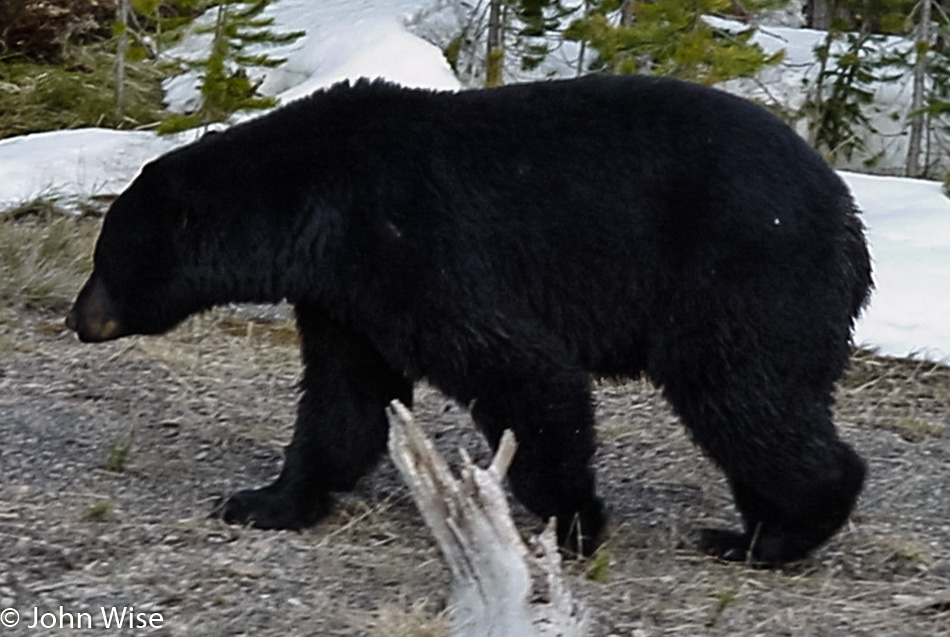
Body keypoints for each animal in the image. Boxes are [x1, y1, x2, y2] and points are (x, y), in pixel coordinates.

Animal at [65, 74, 872, 560]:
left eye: (105, 258)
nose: (77, 316)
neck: (310, 204)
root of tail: (846, 213)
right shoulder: (345, 296)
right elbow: (343, 401)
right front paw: (265, 500)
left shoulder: (412, 243)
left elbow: (521, 369)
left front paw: (574, 520)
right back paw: (762, 524)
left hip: (742, 278)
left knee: (742, 396)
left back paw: (775, 534)